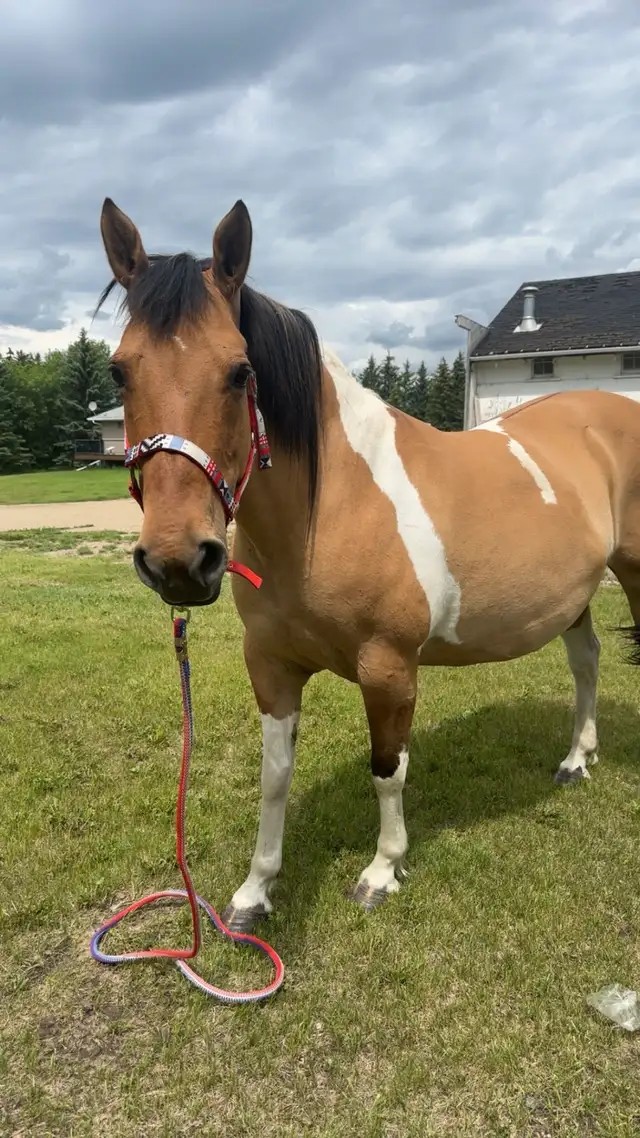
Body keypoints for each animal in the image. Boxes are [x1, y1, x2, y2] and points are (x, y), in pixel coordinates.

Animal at [98, 196, 640, 933]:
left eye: (240, 371)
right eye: (118, 371)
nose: (179, 561)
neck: (330, 510)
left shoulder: (389, 669)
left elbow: (387, 768)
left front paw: (382, 871)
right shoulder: (270, 665)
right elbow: (274, 777)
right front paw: (254, 891)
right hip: (575, 595)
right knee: (586, 664)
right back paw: (576, 761)